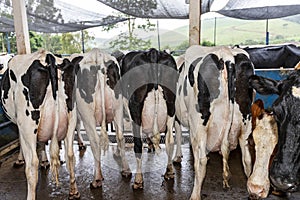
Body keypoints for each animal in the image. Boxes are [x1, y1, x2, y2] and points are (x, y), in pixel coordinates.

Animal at [0, 49, 82, 199]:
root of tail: (47, 56)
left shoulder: (20, 125)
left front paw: (20, 159)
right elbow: (43, 141)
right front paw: (45, 161)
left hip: (28, 123)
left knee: (32, 165)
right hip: (71, 117)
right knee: (70, 155)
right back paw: (74, 191)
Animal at [70, 47, 131, 189]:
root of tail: (97, 54)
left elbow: (77, 126)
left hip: (87, 114)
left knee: (95, 141)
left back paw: (97, 178)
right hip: (118, 107)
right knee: (120, 136)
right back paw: (126, 170)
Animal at [118, 48, 178, 189]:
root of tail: (153, 52)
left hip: (135, 108)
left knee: (138, 144)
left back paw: (138, 180)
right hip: (171, 105)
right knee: (169, 140)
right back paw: (169, 171)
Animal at [176, 45, 255, 200]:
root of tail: (226, 54)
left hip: (199, 124)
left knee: (201, 161)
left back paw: (195, 195)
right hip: (246, 123)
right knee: (247, 159)